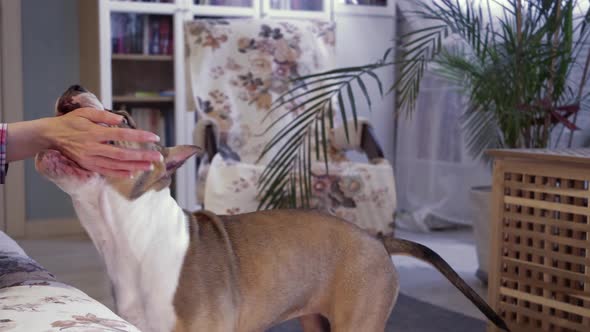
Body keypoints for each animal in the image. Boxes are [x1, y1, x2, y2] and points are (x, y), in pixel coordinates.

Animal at [34, 85, 512, 332]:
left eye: (127, 120)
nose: (76, 87)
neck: (131, 236)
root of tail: (376, 238)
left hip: (356, 322)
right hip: (318, 322)